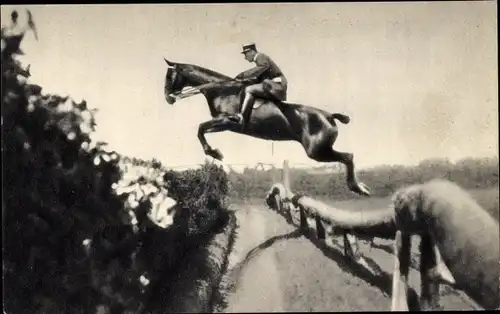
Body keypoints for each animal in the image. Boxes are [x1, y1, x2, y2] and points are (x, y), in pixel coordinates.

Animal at [163, 58, 372, 196]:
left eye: (169, 76)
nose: (168, 98)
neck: (221, 89)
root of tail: (329, 116)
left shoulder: (227, 121)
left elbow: (200, 128)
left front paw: (215, 153)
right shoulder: (224, 125)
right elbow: (202, 130)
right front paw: (214, 152)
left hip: (317, 151)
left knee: (348, 157)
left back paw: (357, 187)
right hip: (321, 150)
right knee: (347, 157)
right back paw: (358, 187)